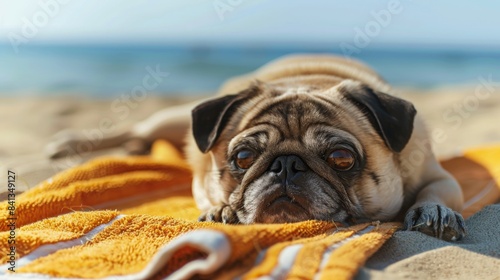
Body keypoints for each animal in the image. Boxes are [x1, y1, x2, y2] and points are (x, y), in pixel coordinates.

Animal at [47, 54, 464, 241]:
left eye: (342, 158)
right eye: (243, 157)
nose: (287, 165)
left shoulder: (434, 171)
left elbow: (439, 191)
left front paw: (435, 211)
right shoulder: (201, 174)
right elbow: (208, 193)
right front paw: (220, 210)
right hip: (172, 118)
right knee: (135, 127)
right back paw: (71, 144)